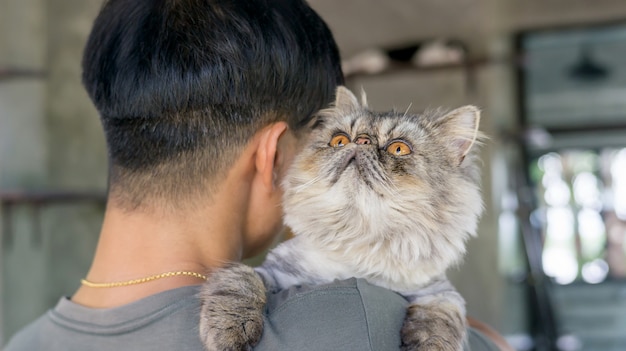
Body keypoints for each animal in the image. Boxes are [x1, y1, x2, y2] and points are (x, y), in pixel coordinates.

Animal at [200, 86, 482, 351]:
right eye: (340, 140)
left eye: (399, 148)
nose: (361, 141)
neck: (357, 237)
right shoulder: (275, 271)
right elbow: (239, 279)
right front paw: (229, 328)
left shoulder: (438, 290)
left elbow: (444, 317)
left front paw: (430, 343)